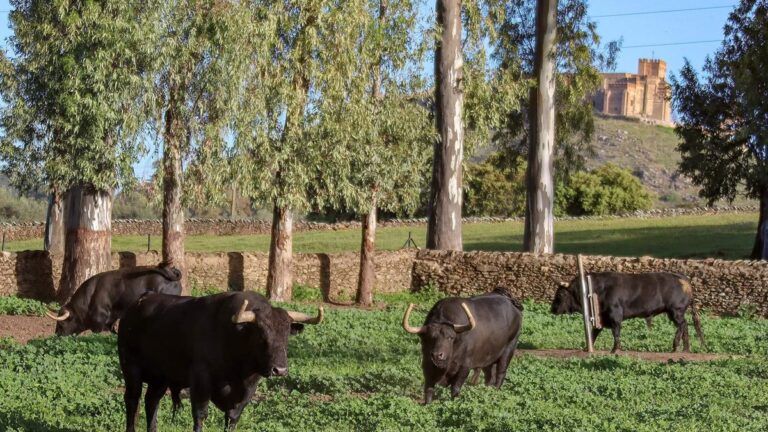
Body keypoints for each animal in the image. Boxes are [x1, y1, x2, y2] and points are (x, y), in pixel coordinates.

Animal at [117, 290, 324, 432]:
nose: (279, 370)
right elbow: (200, 415)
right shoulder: (200, 382)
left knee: (152, 401)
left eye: (286, 334)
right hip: (131, 369)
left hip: (160, 377)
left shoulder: (246, 391)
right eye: (260, 334)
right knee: (132, 400)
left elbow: (232, 418)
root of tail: (139, 302)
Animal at [548, 272, 704, 352]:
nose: (552, 309)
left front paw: (615, 349)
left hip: (675, 311)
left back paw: (676, 346)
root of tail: (682, 277)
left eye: (560, 294)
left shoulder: (615, 315)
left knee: (682, 325)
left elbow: (616, 332)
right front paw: (587, 348)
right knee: (685, 326)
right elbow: (593, 333)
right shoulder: (601, 317)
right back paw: (685, 348)